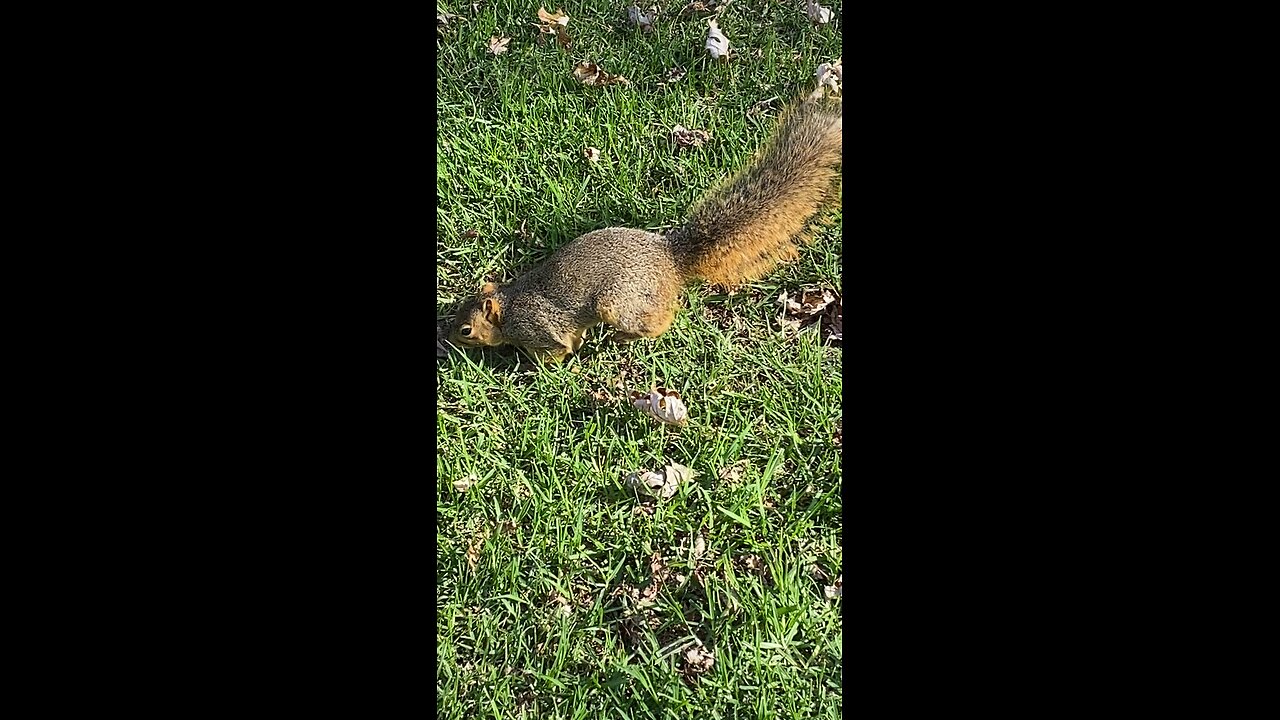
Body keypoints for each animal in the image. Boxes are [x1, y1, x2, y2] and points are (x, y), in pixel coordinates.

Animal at [448, 94, 842, 363]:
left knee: (659, 322)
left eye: (466, 329)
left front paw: (541, 371)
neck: (508, 307)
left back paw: (625, 339)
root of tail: (670, 260)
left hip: (619, 302)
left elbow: (560, 349)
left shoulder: (539, 329)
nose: (447, 340)